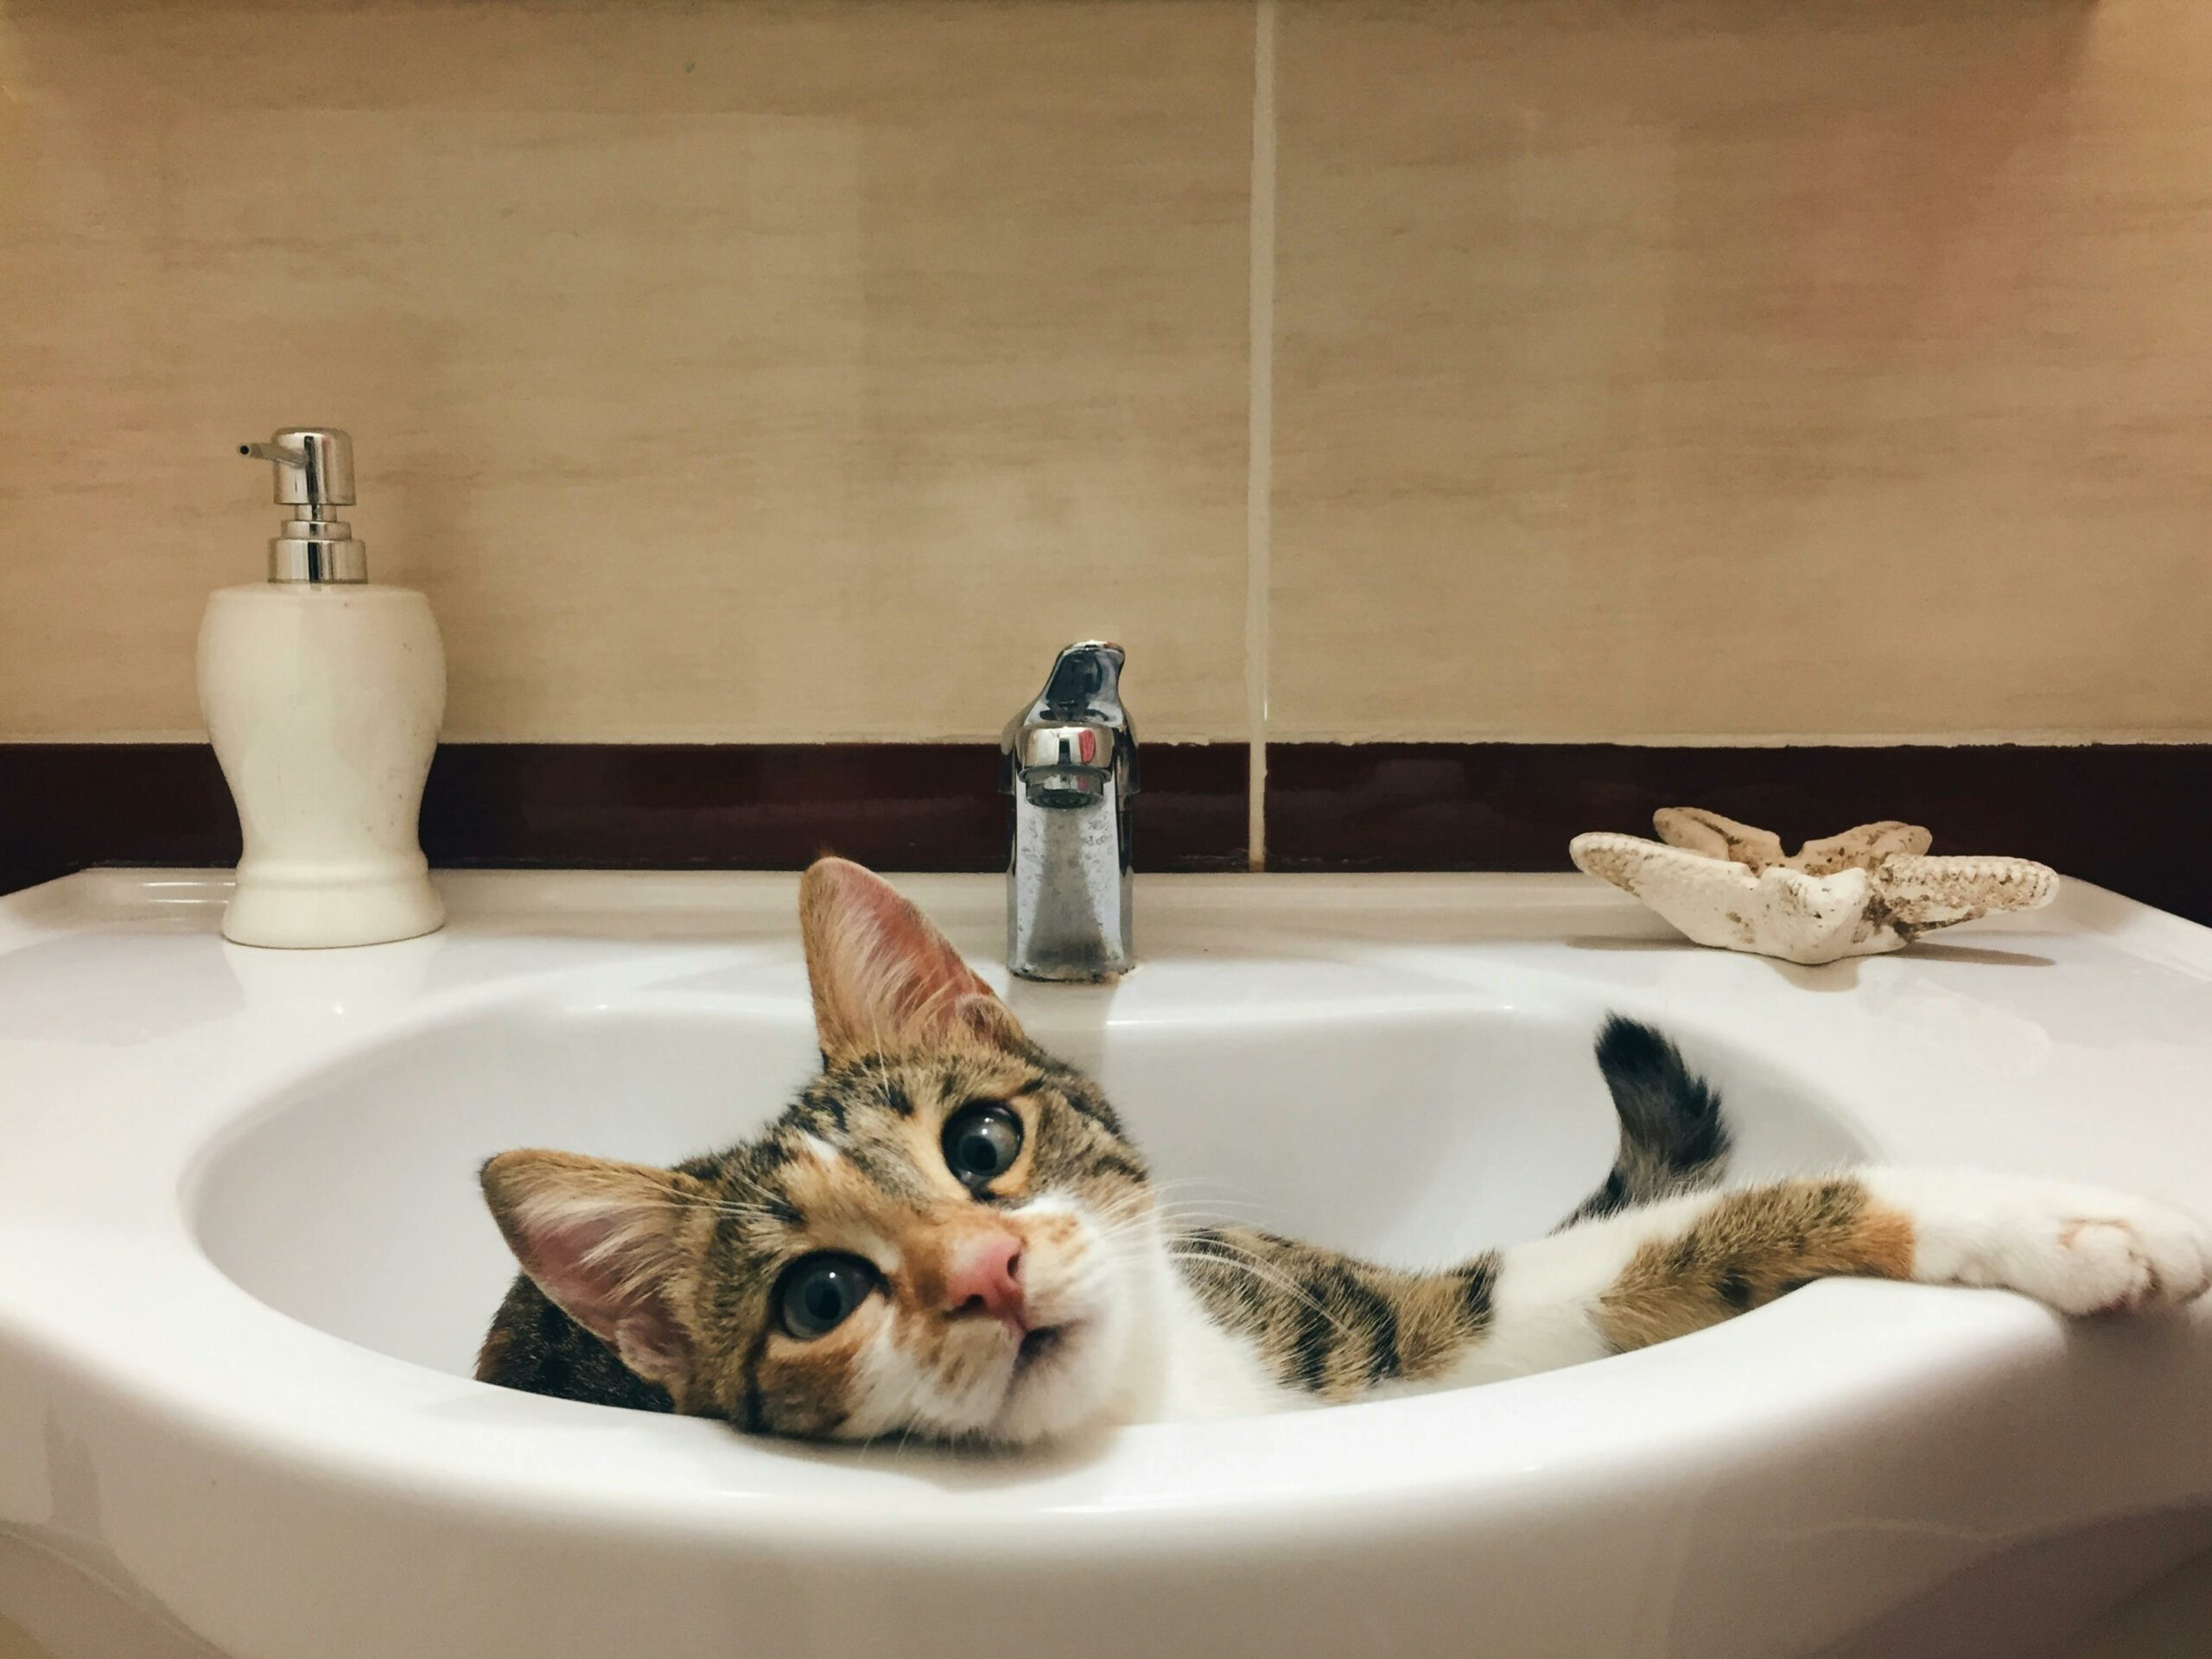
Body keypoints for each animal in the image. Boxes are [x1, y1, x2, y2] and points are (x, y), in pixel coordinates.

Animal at [471, 862, 2212, 1451]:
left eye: (982, 1142)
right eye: (819, 1297)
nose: (991, 1267)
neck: (1164, 1415)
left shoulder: (1364, 1327)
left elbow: (1666, 1245)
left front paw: (2054, 1213)